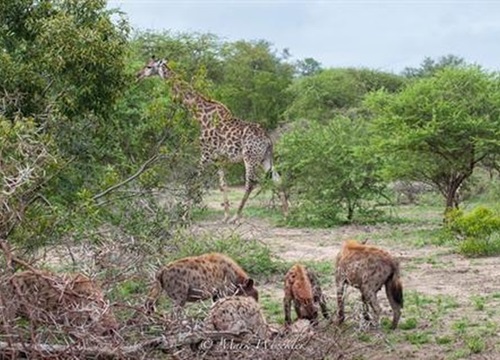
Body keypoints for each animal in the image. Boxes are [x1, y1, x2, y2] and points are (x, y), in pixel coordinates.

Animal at [136, 57, 290, 222]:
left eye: (148, 66)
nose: (138, 75)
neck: (199, 116)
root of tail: (268, 140)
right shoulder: (219, 158)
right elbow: (223, 184)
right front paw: (225, 216)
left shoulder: (206, 154)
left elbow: (195, 182)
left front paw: (185, 216)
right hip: (265, 158)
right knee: (277, 179)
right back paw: (286, 214)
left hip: (250, 157)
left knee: (251, 183)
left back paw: (237, 216)